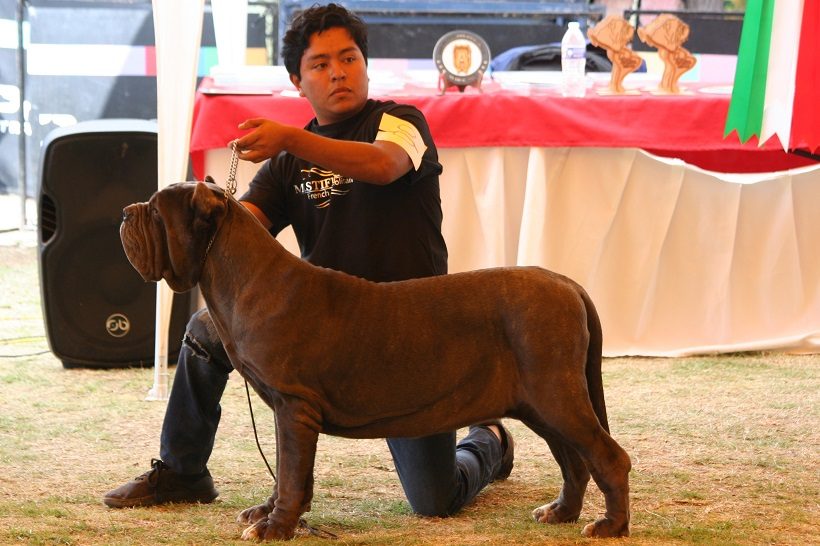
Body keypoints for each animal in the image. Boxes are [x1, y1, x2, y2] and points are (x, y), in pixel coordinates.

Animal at [120, 181, 636, 536]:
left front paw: (275, 527)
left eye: (156, 211)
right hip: (541, 404)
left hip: (556, 394)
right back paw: (561, 512)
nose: (125, 212)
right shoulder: (290, 414)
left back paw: (609, 527)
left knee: (608, 457)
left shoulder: (293, 407)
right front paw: (271, 513)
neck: (242, 275)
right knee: (574, 461)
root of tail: (568, 284)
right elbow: (290, 473)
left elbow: (291, 472)